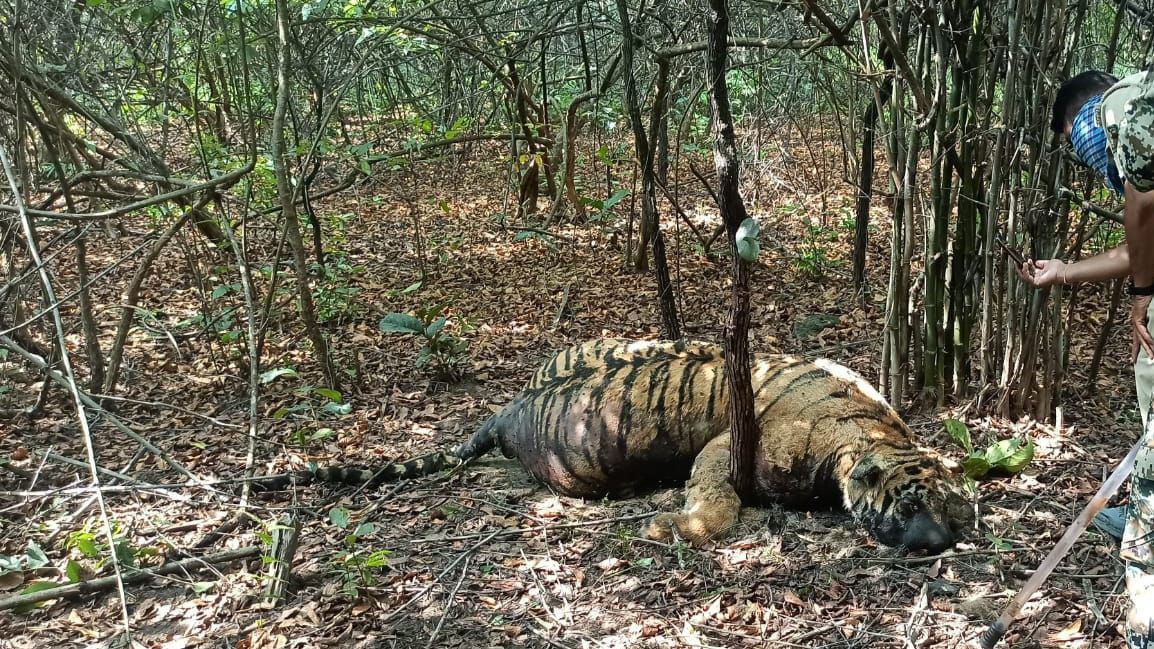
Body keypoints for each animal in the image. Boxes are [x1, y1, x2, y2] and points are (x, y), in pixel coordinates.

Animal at [257, 339, 973, 553]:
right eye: (911, 506)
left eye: (952, 512)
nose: (939, 541)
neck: (864, 434)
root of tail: (510, 407)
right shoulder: (727, 448)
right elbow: (716, 500)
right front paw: (674, 525)